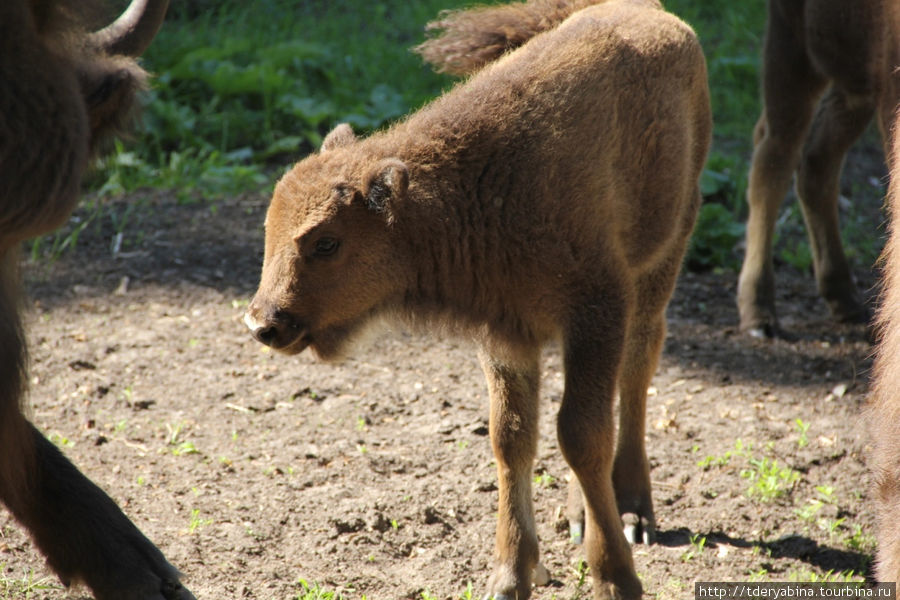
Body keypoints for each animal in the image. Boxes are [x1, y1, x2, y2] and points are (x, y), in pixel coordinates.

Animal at [244, 2, 712, 596]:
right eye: (269, 229)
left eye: (326, 242)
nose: (263, 322)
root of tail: (657, 16)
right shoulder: (506, 337)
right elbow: (511, 438)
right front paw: (511, 575)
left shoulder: (597, 310)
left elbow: (581, 433)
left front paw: (616, 577)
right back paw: (581, 513)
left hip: (662, 259)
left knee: (636, 369)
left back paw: (631, 510)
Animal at [736, 0, 896, 338]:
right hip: (792, 45)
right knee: (775, 158)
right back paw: (759, 312)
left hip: (853, 81)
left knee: (816, 160)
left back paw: (844, 298)